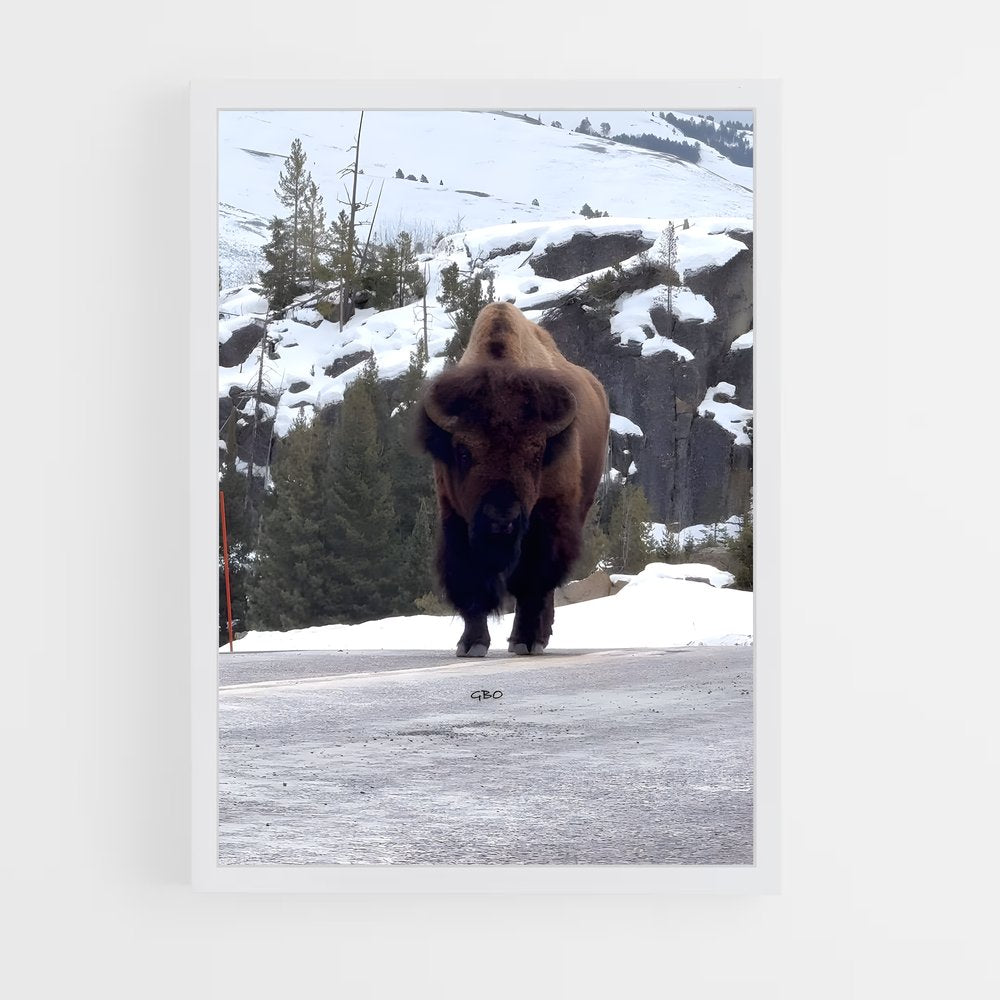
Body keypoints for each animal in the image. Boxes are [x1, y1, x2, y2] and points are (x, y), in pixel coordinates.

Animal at [417, 302, 610, 656]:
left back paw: (538, 637)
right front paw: (471, 644)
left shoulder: (546, 519)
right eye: (463, 452)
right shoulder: (455, 514)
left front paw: (525, 639)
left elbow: (533, 582)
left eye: (536, 452)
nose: (500, 518)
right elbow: (470, 579)